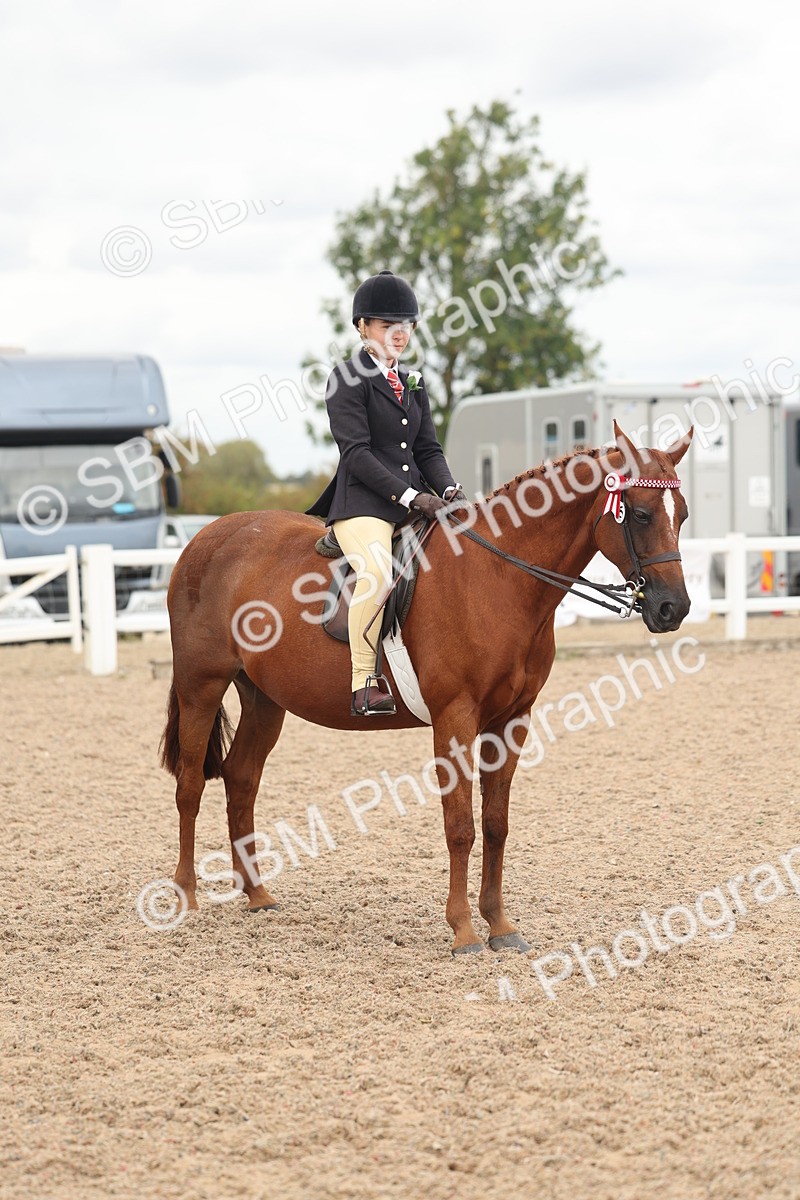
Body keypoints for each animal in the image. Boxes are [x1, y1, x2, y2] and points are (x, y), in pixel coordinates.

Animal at [159, 422, 693, 955]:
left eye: (682, 514)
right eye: (641, 514)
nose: (674, 608)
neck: (498, 578)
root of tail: (205, 537)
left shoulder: (512, 719)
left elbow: (496, 824)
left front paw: (500, 925)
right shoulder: (455, 717)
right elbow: (460, 827)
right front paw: (463, 930)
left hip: (265, 699)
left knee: (241, 778)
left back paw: (257, 894)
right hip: (201, 686)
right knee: (190, 785)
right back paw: (185, 895)